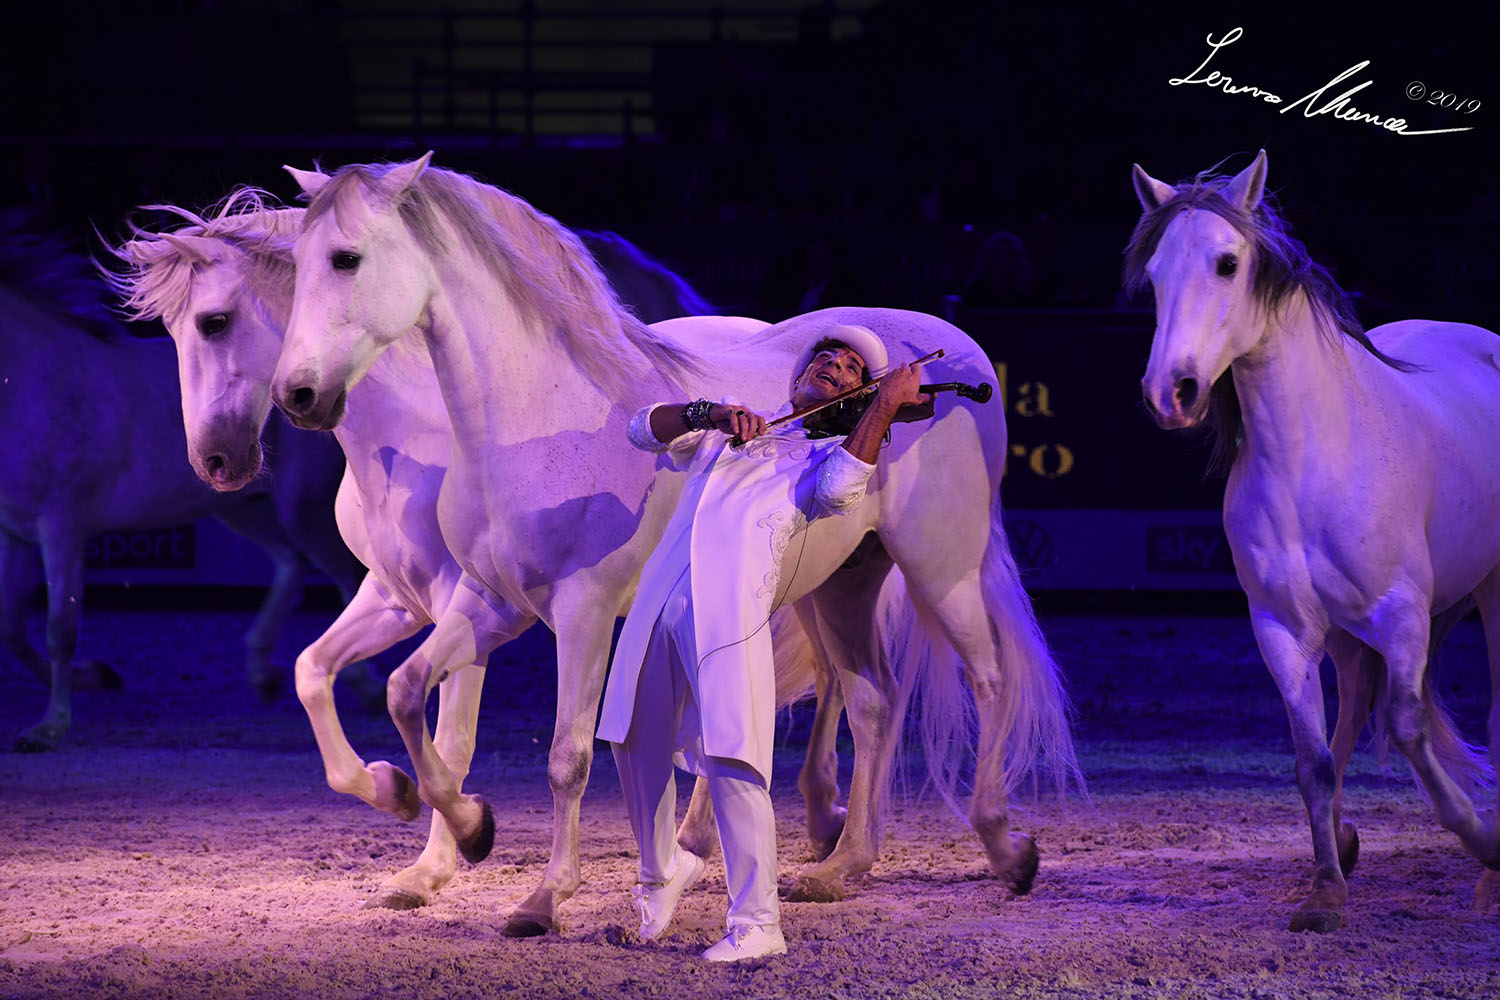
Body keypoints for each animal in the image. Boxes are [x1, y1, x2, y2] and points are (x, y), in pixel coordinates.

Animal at [270, 154, 1080, 929]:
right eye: (297, 260)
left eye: (346, 258)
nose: (296, 396)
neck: (534, 419)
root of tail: (957, 361)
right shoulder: (490, 603)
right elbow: (405, 693)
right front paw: (460, 823)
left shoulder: (583, 613)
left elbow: (567, 756)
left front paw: (543, 899)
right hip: (844, 581)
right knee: (873, 701)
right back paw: (840, 867)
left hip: (943, 568)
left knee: (989, 678)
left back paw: (1007, 848)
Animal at [1128, 152, 1494, 935]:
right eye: (1154, 276)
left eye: (1228, 262)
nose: (1171, 392)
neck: (1313, 457)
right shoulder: (1285, 629)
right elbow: (1311, 760)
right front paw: (1325, 890)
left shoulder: (1402, 616)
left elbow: (1410, 728)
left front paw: (1486, 838)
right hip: (1351, 638)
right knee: (1352, 708)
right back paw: (1347, 847)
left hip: (1490, 591)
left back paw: (1486, 882)